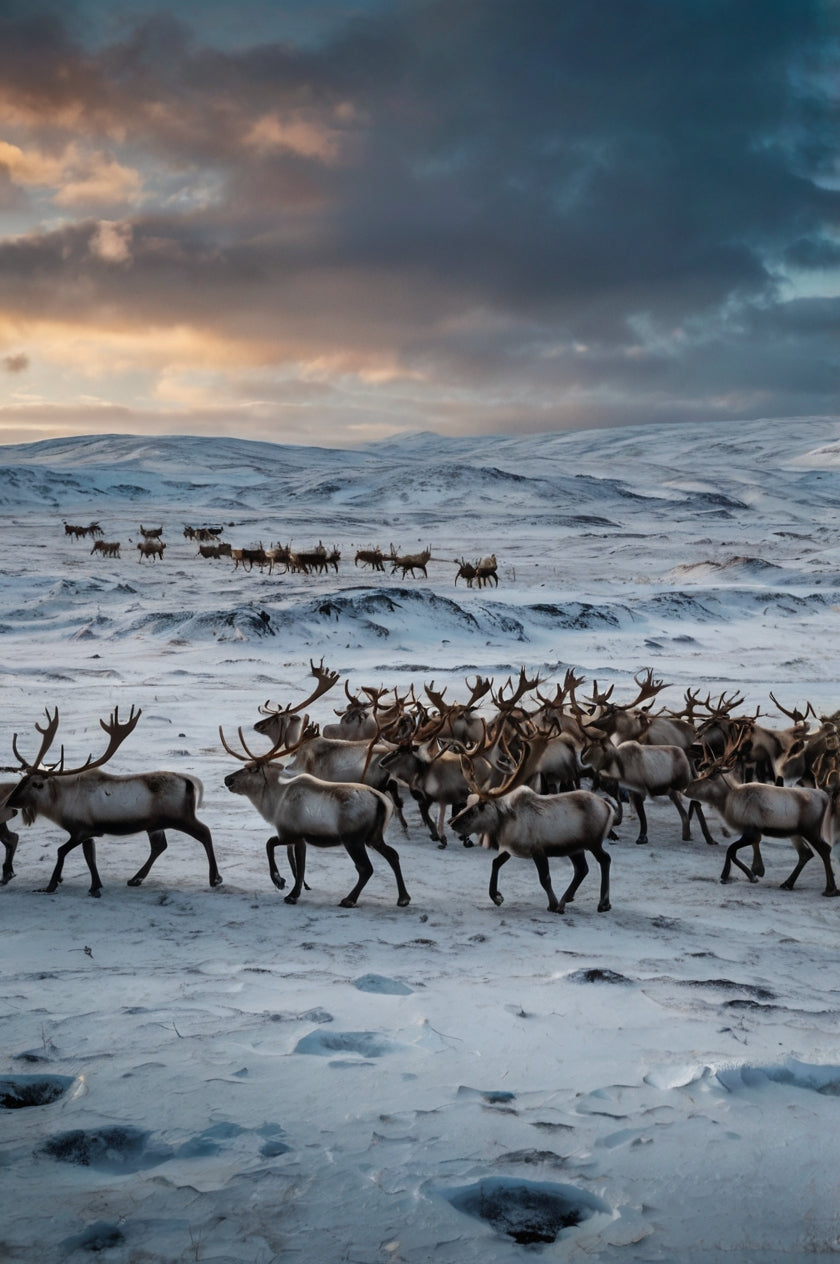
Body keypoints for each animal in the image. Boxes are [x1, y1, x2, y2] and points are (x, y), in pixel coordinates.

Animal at [5, 707, 221, 896]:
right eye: (22, 779)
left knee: (204, 832)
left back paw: (215, 878)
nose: (9, 801)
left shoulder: (80, 830)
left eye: (37, 784)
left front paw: (50, 886)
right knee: (160, 846)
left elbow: (61, 851)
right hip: (155, 825)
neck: (58, 804)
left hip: (181, 817)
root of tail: (189, 782)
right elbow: (90, 856)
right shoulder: (88, 831)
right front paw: (95, 886)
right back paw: (136, 879)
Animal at [221, 725, 410, 908]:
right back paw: (403, 898)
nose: (227, 779)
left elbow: (271, 845)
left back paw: (349, 899)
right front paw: (295, 891)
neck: (274, 802)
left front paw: (282, 884)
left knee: (365, 868)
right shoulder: (300, 838)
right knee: (392, 855)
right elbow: (300, 866)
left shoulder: (290, 833)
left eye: (251, 769)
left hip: (353, 838)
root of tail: (382, 801)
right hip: (374, 836)